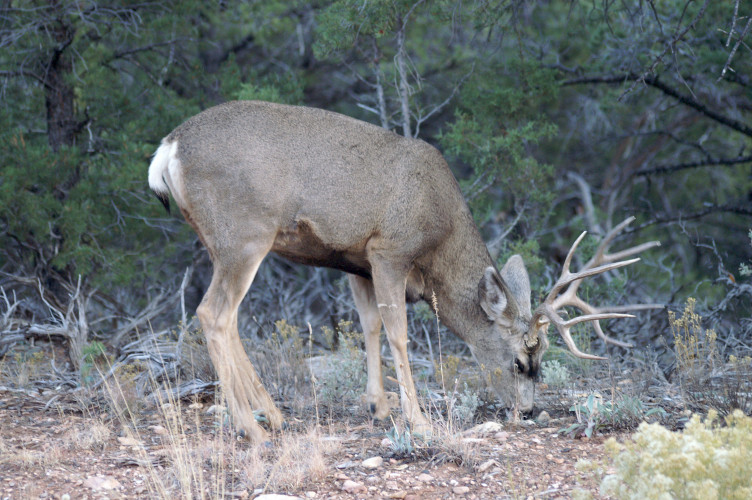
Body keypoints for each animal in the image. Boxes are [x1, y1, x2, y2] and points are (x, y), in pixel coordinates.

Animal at [148, 100, 660, 442]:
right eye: (520, 360)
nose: (529, 411)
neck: (440, 238)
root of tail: (168, 148)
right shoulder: (389, 250)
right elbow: (399, 333)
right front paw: (415, 417)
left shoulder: (354, 261)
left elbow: (370, 326)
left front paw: (378, 405)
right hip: (245, 234)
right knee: (213, 314)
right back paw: (251, 428)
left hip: (223, 241)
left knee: (227, 318)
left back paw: (272, 416)